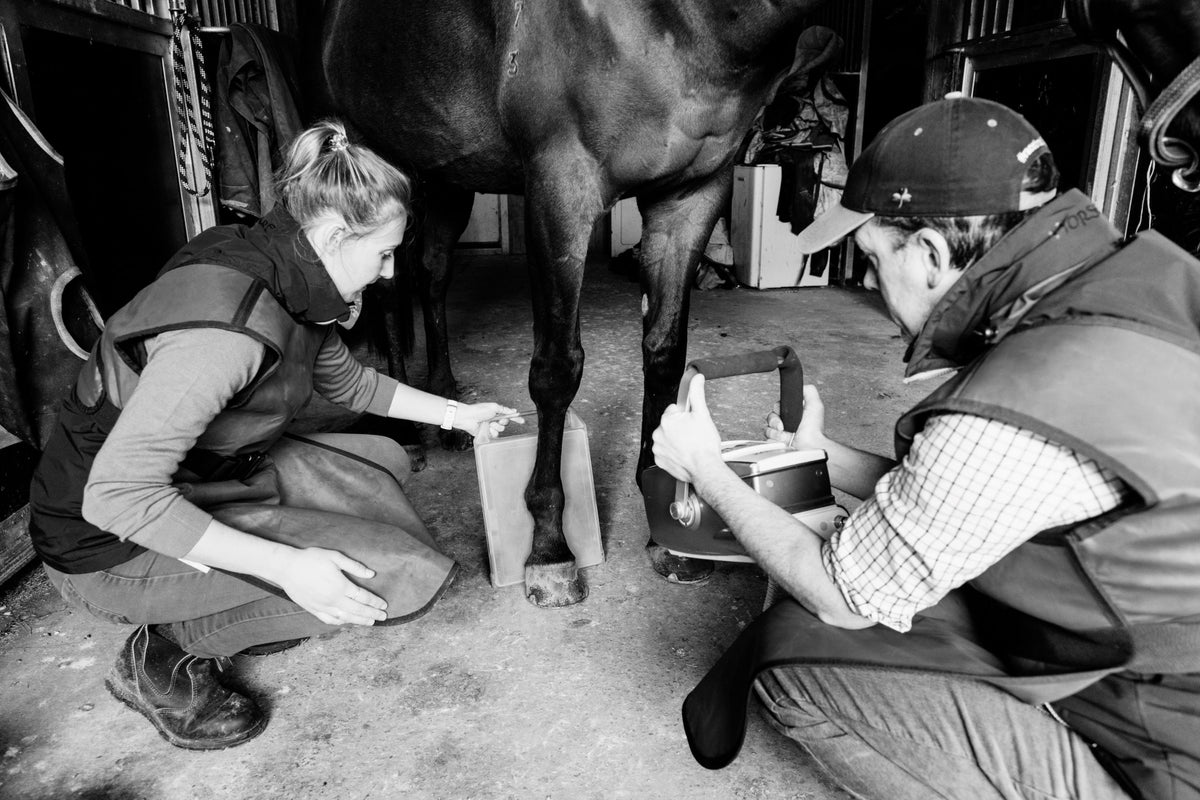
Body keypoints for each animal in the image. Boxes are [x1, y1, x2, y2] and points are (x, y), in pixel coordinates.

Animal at [319, 0, 829, 607]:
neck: (692, 26)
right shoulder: (560, 188)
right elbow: (557, 370)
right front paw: (548, 549)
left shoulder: (693, 194)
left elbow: (665, 351)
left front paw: (666, 518)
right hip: (379, 158)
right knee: (388, 287)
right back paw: (402, 431)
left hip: (447, 175)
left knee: (432, 273)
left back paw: (446, 407)